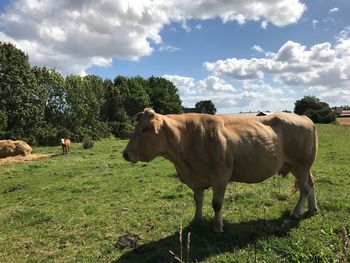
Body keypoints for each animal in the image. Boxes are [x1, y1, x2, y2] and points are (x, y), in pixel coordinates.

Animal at [122, 109, 318, 233]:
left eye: (145, 129)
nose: (125, 154)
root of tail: (305, 118)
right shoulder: (196, 179)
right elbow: (198, 200)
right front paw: (197, 219)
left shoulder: (221, 176)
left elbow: (216, 204)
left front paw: (217, 227)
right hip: (298, 166)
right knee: (311, 184)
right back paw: (312, 209)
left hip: (301, 164)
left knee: (305, 188)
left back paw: (295, 212)